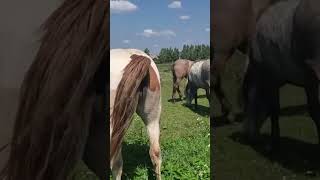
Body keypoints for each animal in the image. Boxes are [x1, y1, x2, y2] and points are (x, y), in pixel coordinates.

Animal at [242, 0, 320, 147]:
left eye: (246, 99)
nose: (247, 136)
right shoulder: (308, 80)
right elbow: (313, 109)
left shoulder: (271, 77)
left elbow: (274, 109)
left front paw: (273, 144)